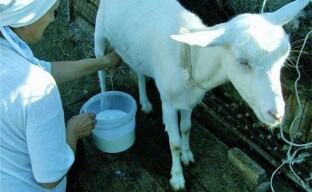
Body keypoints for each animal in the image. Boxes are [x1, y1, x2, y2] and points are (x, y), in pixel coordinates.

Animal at [94, 0, 310, 190]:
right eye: (242, 61)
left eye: (283, 58)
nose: (277, 114)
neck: (192, 57)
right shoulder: (168, 101)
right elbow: (174, 142)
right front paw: (177, 177)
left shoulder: (190, 100)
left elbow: (186, 128)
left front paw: (187, 156)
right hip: (99, 32)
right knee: (101, 70)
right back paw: (104, 102)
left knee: (138, 70)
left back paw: (145, 103)